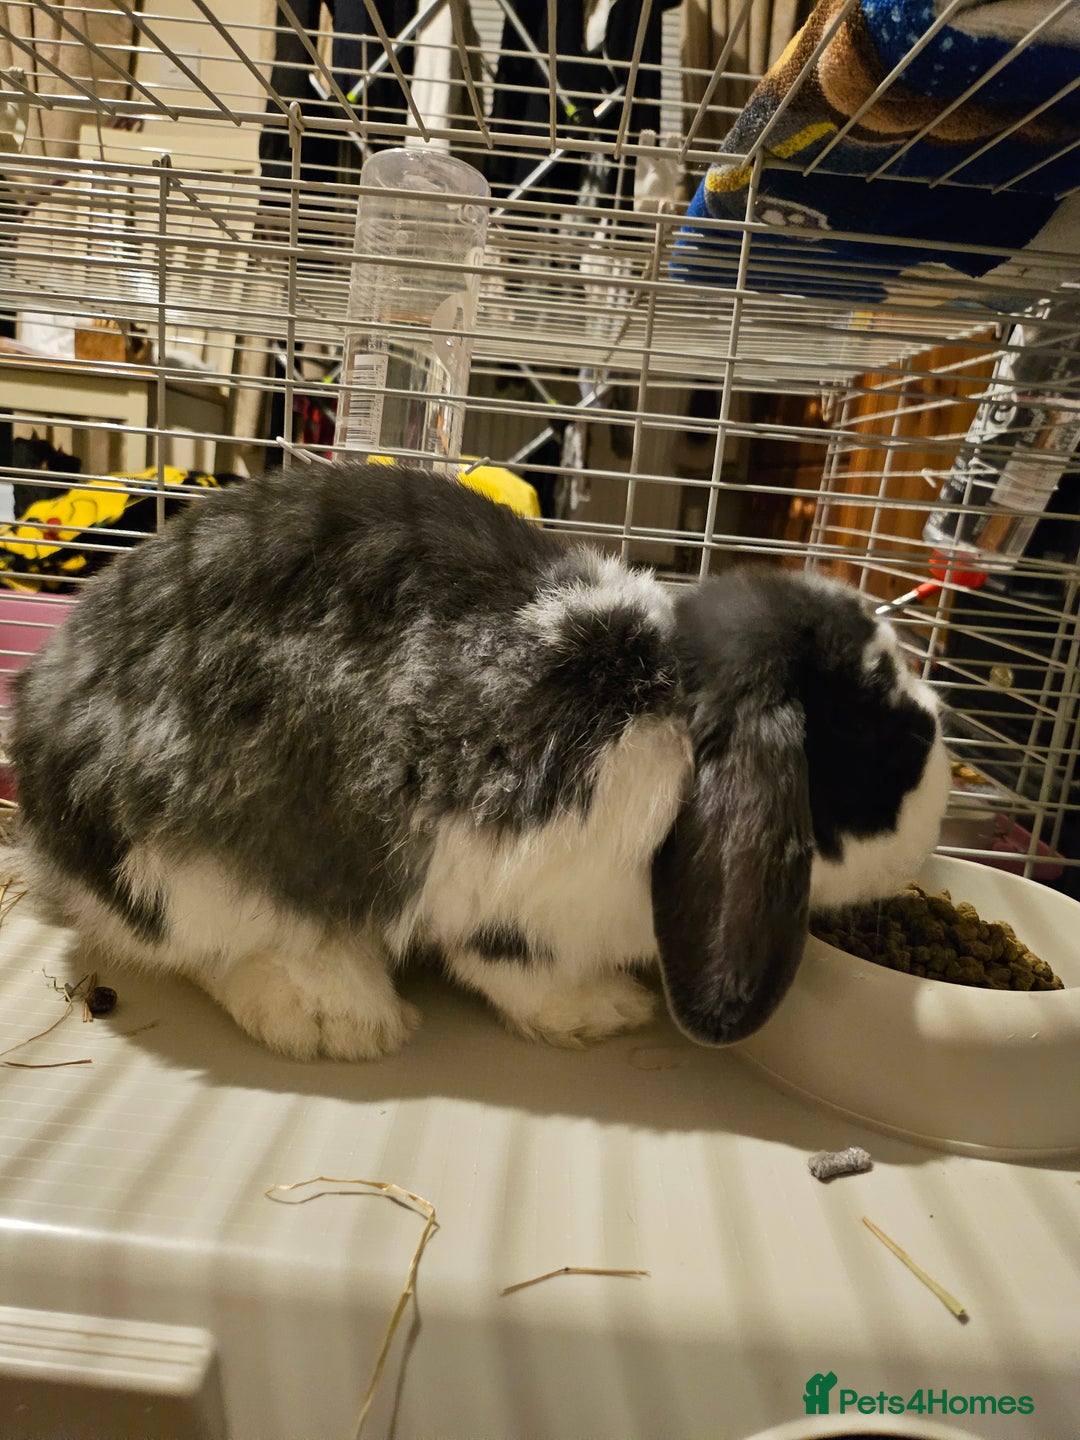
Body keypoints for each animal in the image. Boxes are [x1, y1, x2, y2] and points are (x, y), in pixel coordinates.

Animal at [9, 461, 950, 1060]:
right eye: (891, 744)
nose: (932, 833)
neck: (674, 702)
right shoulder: (520, 897)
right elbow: (513, 970)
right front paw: (604, 1013)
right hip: (191, 871)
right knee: (213, 946)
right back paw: (341, 1018)